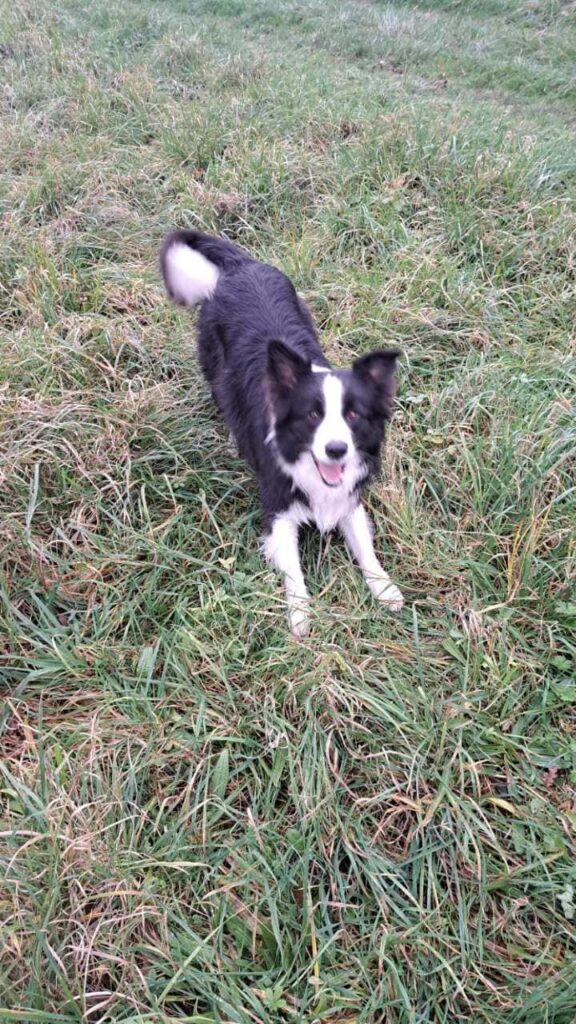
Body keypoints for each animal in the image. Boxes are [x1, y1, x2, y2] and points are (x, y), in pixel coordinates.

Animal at [158, 228, 401, 634]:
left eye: (353, 415)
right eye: (312, 415)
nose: (336, 450)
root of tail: (242, 266)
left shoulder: (348, 500)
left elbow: (365, 548)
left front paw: (384, 588)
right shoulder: (277, 511)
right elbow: (293, 570)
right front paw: (300, 615)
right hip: (214, 365)